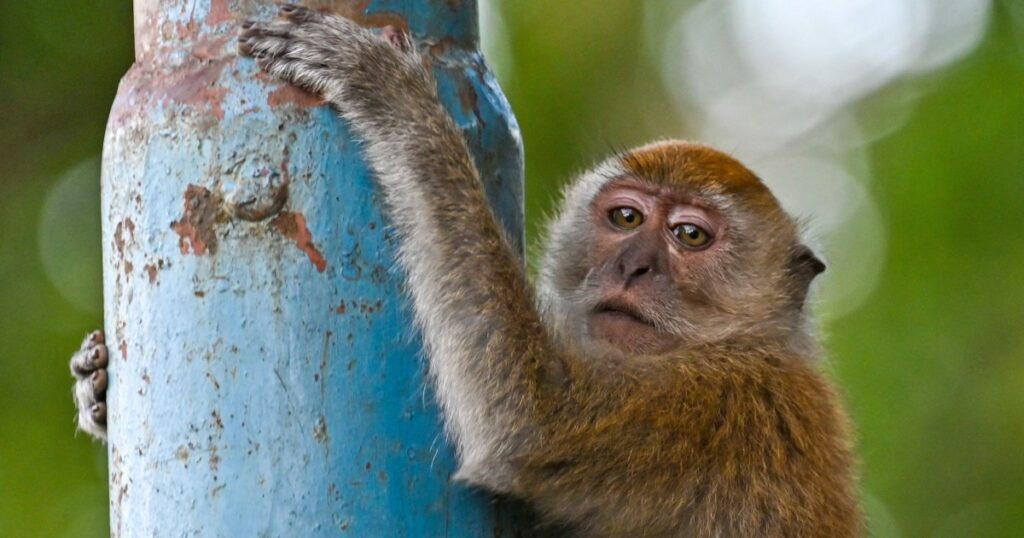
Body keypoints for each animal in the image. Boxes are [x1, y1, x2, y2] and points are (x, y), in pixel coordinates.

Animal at [73, 5, 862, 535]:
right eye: (626, 219)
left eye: (691, 236)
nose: (634, 266)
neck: (734, 344)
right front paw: (99, 387)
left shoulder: (714, 410)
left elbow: (533, 424)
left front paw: (397, 102)